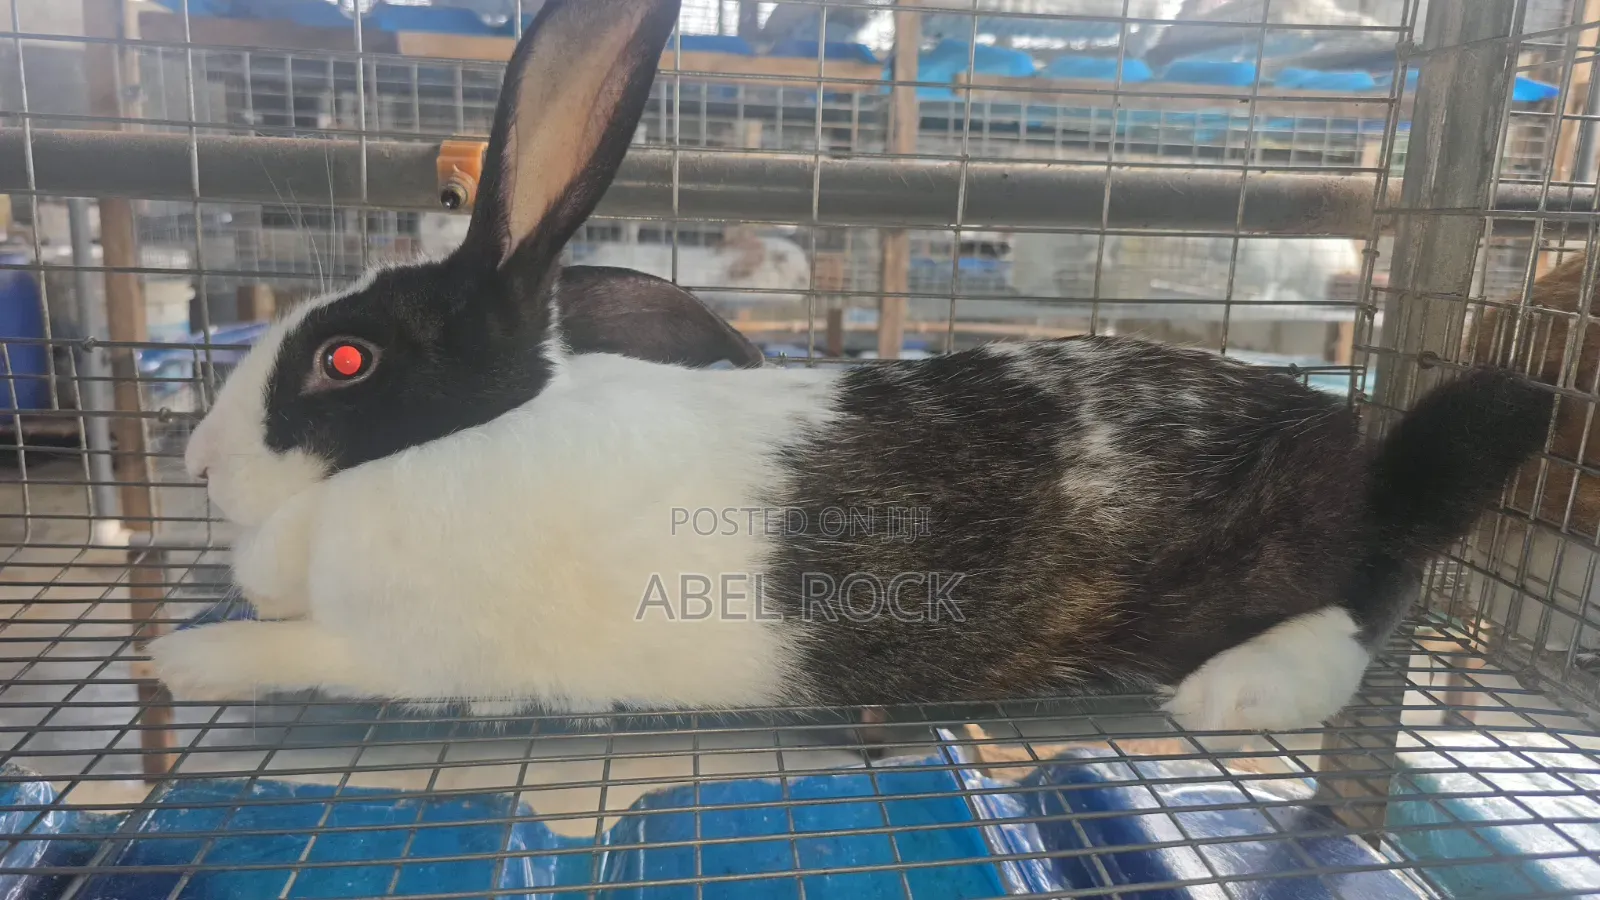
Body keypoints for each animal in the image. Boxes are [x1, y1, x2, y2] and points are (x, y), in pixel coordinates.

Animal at [150, 0, 1554, 734]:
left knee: (1375, 598)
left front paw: (182, 660)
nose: (196, 461)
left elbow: (298, 652)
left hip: (1292, 555)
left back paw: (1235, 692)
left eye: (343, 359)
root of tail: (1358, 452)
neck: (460, 444)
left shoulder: (415, 652)